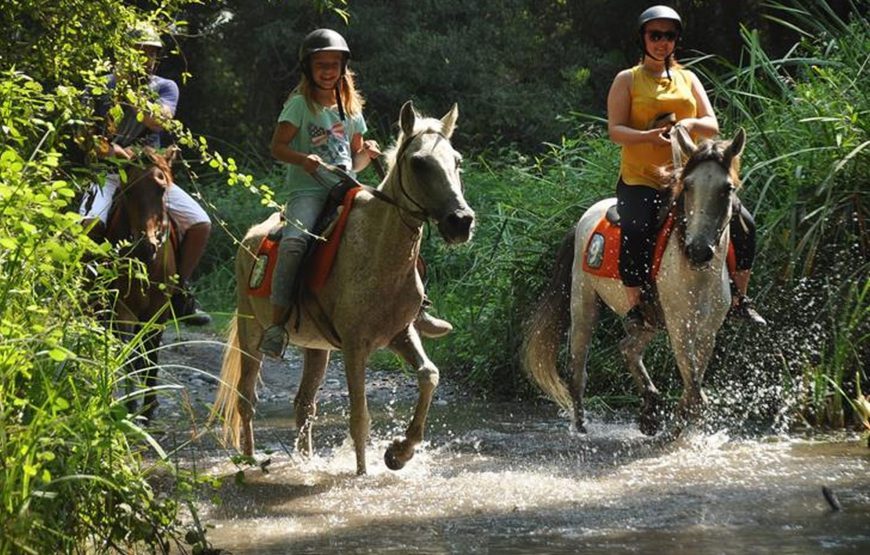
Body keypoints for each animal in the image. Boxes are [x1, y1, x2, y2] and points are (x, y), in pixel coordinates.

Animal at [105, 147, 179, 422]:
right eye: (128, 191)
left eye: (162, 189)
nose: (146, 247)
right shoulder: (123, 309)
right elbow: (129, 354)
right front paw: (130, 405)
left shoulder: (159, 311)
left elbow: (151, 357)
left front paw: (149, 406)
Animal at [215, 102, 480, 476]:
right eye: (418, 162)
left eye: (456, 160)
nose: (461, 221)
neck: (379, 251)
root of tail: (249, 238)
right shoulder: (355, 347)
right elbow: (360, 417)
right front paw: (363, 473)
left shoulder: (400, 333)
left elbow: (429, 375)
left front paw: (400, 452)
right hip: (251, 334)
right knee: (246, 399)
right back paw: (251, 461)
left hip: (316, 348)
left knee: (304, 405)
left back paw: (306, 462)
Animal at [520, 128, 744, 436]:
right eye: (687, 186)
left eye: (727, 188)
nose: (698, 250)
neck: (697, 272)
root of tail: (586, 216)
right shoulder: (680, 326)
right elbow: (695, 391)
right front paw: (678, 432)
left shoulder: (707, 331)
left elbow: (694, 390)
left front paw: (680, 427)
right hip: (583, 303)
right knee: (578, 369)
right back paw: (582, 428)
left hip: (648, 319)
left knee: (628, 348)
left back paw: (649, 408)